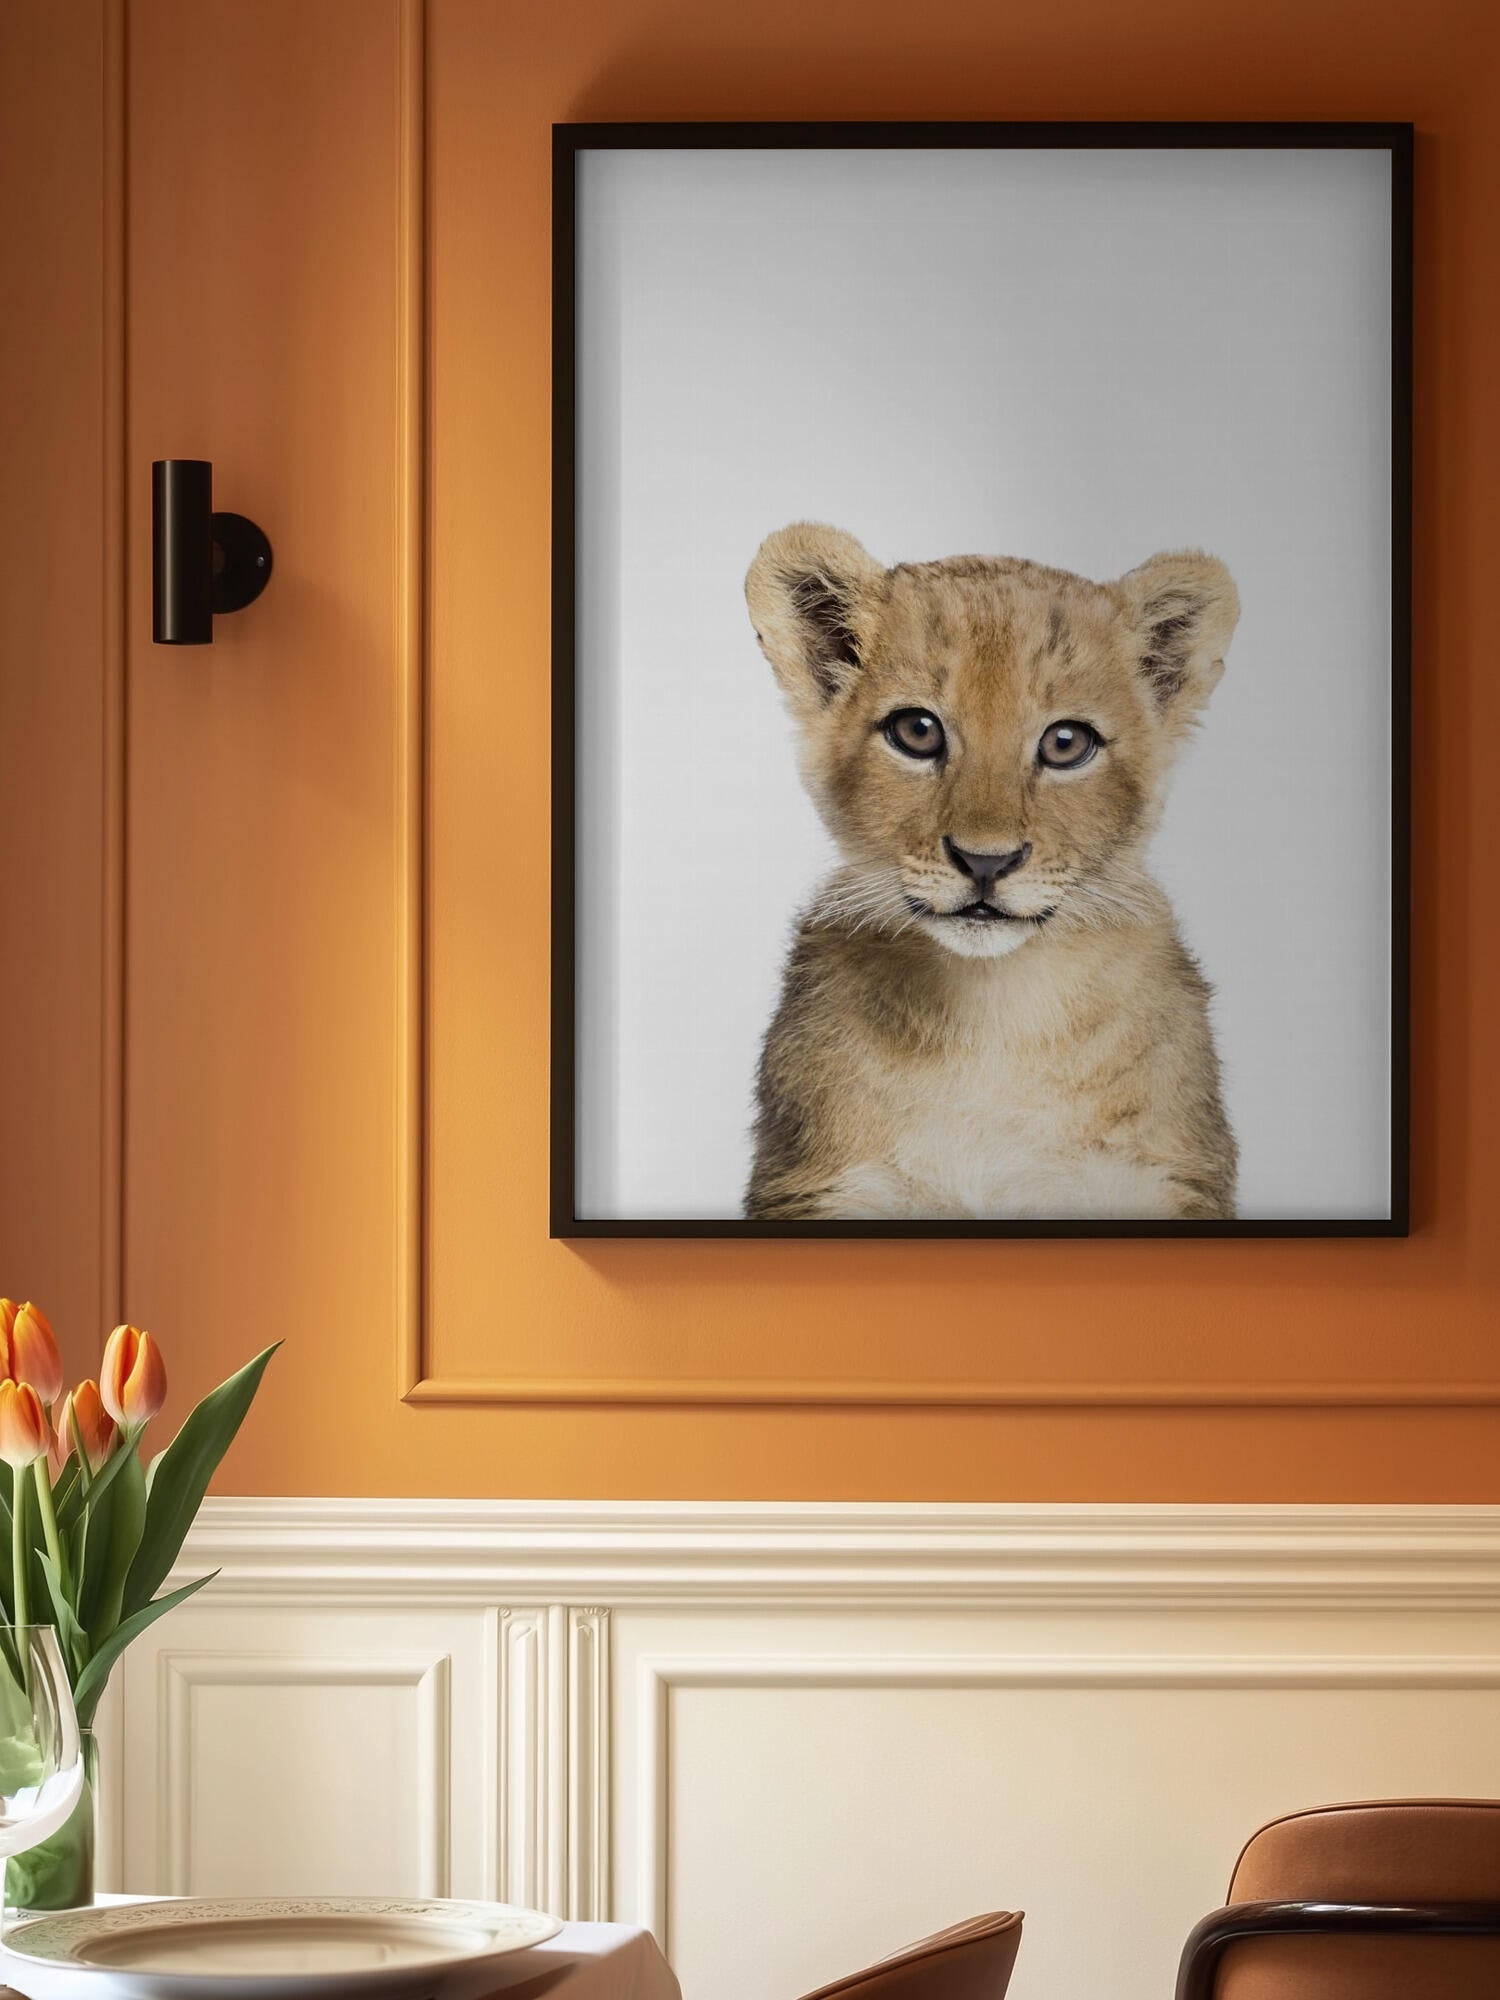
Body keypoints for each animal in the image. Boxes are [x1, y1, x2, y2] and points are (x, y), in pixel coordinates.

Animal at [743, 524, 1240, 1222]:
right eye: (916, 731)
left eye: (1067, 743)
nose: (986, 861)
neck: (994, 1015)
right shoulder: (824, 1183)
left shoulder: (1166, 1178)